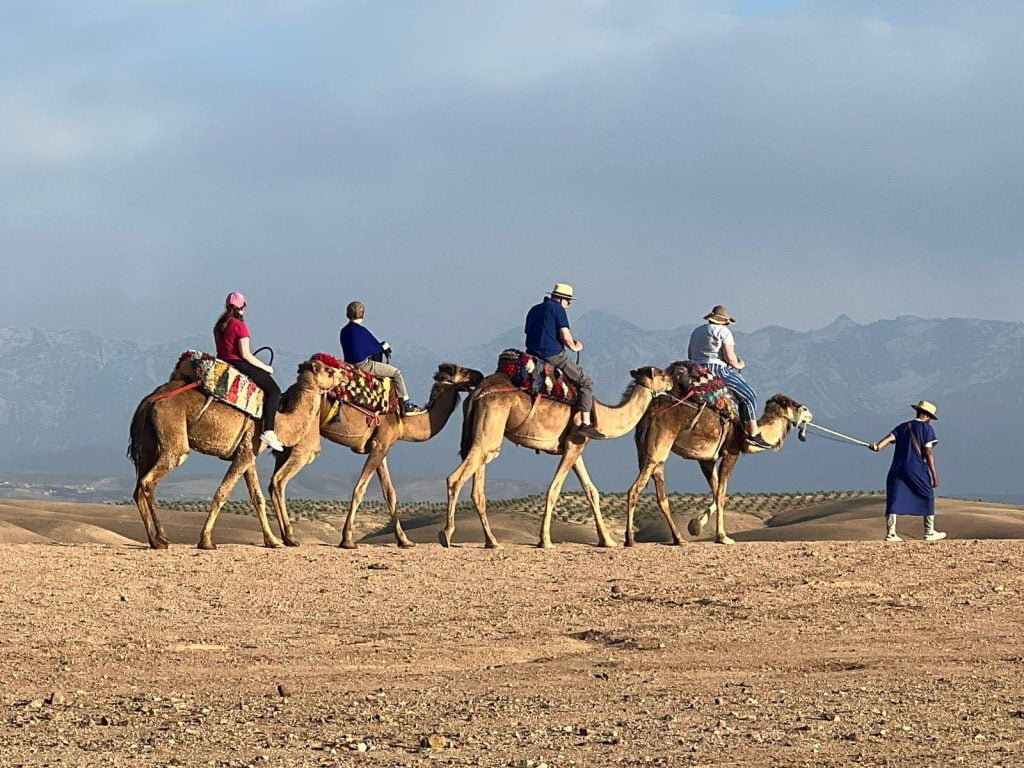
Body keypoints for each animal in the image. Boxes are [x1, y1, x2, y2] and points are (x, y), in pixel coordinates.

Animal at [126, 358, 344, 548]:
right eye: (329, 371)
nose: (343, 374)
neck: (280, 422)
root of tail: (150, 400)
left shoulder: (248, 452)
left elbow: (257, 497)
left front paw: (273, 541)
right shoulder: (247, 450)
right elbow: (222, 493)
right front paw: (206, 541)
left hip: (148, 444)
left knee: (138, 487)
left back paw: (155, 540)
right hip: (174, 439)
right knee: (149, 480)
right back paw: (161, 538)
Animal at [268, 362, 483, 548]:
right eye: (463, 370)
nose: (479, 375)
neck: (405, 420)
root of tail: (288, 395)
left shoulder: (381, 446)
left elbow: (390, 493)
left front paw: (404, 540)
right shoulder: (381, 445)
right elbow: (360, 489)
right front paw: (347, 540)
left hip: (288, 442)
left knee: (273, 481)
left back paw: (284, 537)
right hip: (306, 438)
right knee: (280, 479)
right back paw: (290, 537)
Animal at [444, 364, 675, 548]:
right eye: (663, 374)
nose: (673, 381)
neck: (603, 415)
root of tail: (477, 393)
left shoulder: (575, 447)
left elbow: (591, 491)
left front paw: (607, 541)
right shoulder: (574, 444)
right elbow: (553, 490)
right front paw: (545, 541)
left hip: (482, 437)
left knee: (478, 490)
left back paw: (492, 542)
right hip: (490, 431)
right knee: (455, 478)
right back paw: (446, 535)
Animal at [618, 376, 811, 544]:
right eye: (795, 404)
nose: (809, 412)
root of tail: (648, 413)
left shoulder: (706, 460)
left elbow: (717, 492)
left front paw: (696, 525)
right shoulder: (732, 452)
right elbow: (721, 495)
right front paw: (723, 537)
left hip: (655, 455)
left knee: (661, 497)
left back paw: (679, 538)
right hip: (657, 449)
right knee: (634, 490)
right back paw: (630, 540)